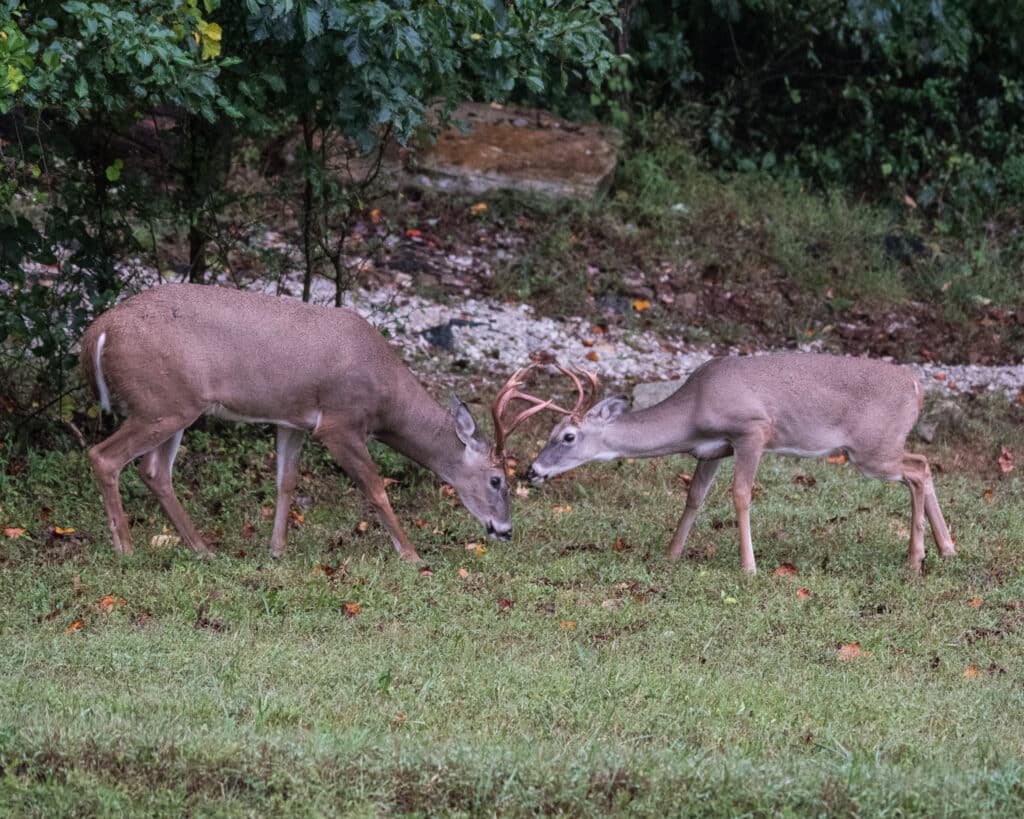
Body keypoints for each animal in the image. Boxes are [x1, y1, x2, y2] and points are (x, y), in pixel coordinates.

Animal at [81, 284, 561, 561]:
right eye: (497, 480)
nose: (505, 531)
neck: (385, 394)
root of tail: (96, 333)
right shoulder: (339, 422)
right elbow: (376, 488)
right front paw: (411, 555)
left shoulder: (292, 420)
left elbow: (286, 483)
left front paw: (276, 552)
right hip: (162, 402)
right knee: (104, 456)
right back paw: (126, 550)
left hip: (174, 405)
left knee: (154, 471)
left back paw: (203, 550)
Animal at [528, 354, 958, 577]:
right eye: (550, 430)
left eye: (567, 436)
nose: (532, 471)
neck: (694, 409)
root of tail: (917, 386)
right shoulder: (712, 450)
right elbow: (695, 497)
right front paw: (672, 554)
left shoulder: (752, 430)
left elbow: (740, 495)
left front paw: (749, 567)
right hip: (880, 446)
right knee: (923, 465)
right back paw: (947, 549)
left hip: (871, 448)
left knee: (918, 469)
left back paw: (916, 557)